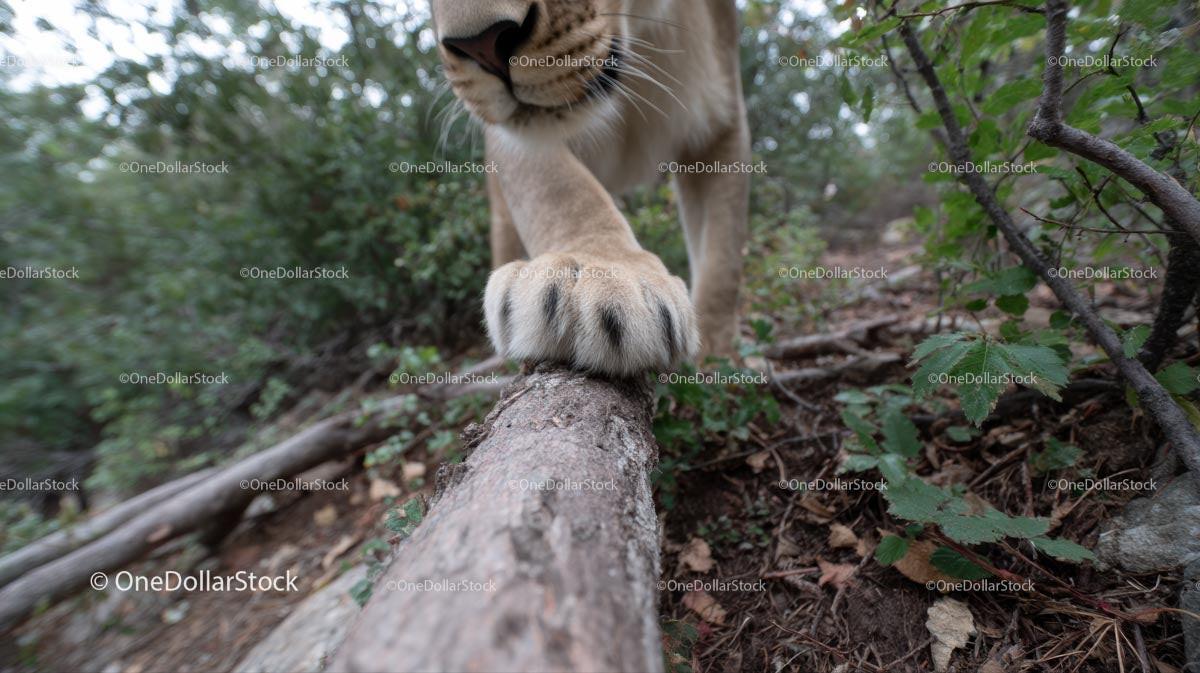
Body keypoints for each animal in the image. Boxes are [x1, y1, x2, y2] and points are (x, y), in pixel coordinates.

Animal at [430, 0, 749, 376]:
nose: (479, 46)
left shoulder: (723, 121)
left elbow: (722, 260)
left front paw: (718, 361)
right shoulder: (512, 137)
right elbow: (561, 188)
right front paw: (602, 271)